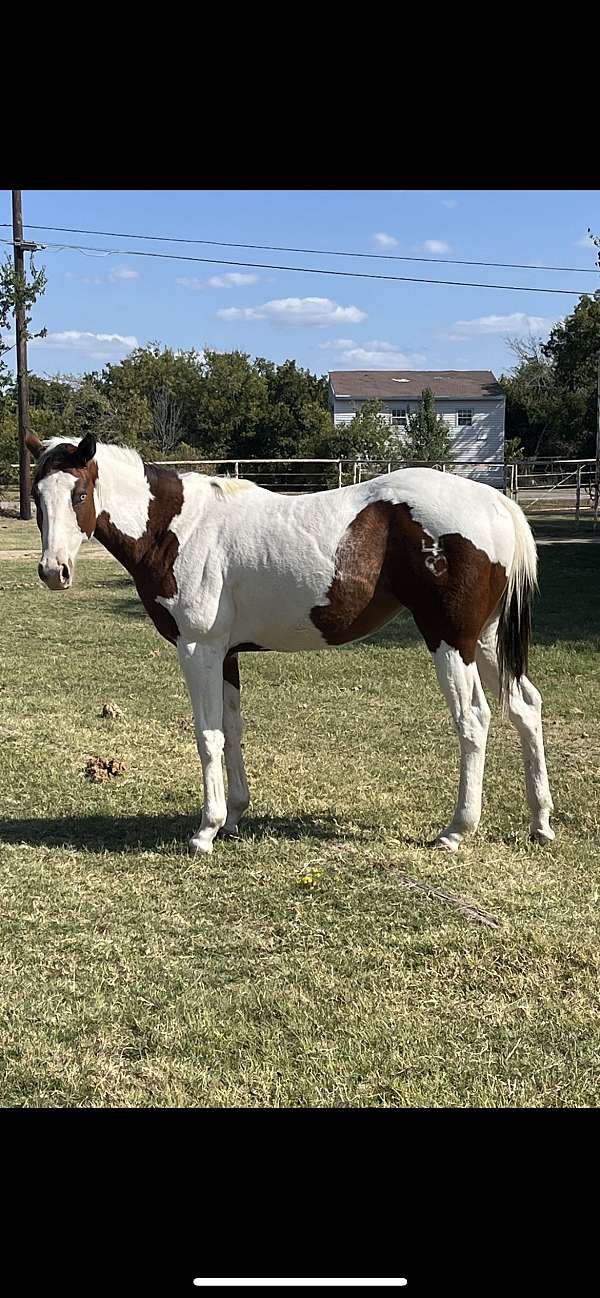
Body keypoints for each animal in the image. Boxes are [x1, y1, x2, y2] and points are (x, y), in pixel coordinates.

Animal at [25, 430, 555, 856]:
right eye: (36, 496)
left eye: (79, 493)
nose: (54, 572)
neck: (178, 529)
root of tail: (495, 503)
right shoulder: (227, 654)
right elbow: (233, 729)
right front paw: (235, 816)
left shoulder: (198, 650)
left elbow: (207, 735)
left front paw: (206, 830)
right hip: (485, 641)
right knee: (525, 707)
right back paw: (540, 823)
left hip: (449, 639)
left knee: (474, 720)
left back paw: (456, 830)